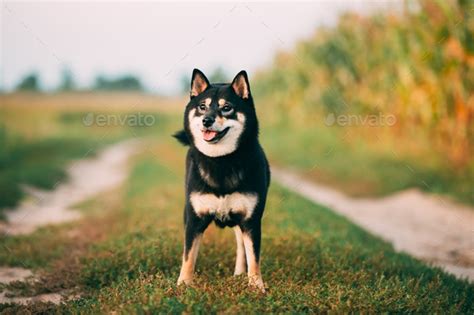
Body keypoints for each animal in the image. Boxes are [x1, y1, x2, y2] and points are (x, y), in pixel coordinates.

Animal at [174, 68, 270, 292]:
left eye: (226, 108)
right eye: (202, 107)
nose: (206, 120)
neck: (221, 161)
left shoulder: (251, 220)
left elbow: (254, 257)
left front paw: (256, 286)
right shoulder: (194, 219)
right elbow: (188, 255)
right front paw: (183, 284)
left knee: (241, 245)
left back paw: (240, 274)